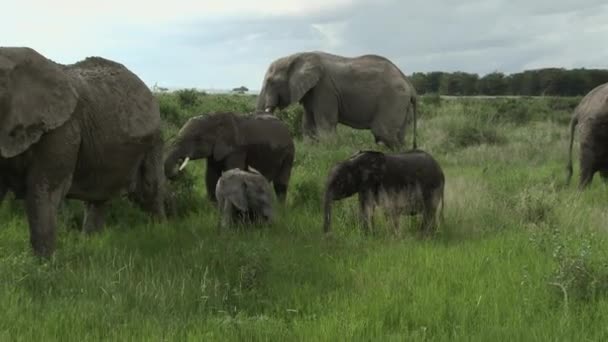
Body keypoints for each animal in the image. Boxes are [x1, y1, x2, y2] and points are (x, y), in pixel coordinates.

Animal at [0, 46, 166, 256]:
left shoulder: (64, 129)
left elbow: (43, 192)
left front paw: (43, 263)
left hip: (154, 138)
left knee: (149, 190)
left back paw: (163, 235)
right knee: (99, 198)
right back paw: (91, 244)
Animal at [165, 112, 296, 203]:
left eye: (197, 139)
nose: (178, 168)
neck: (214, 118)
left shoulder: (236, 150)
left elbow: (232, 173)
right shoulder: (215, 151)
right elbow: (211, 176)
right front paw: (213, 208)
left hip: (289, 153)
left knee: (281, 184)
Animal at [255, 50, 418, 148]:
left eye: (270, 82)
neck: (297, 56)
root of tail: (409, 85)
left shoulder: (325, 88)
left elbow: (325, 123)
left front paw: (329, 151)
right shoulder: (311, 91)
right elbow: (308, 126)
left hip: (393, 98)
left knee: (382, 132)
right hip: (401, 103)